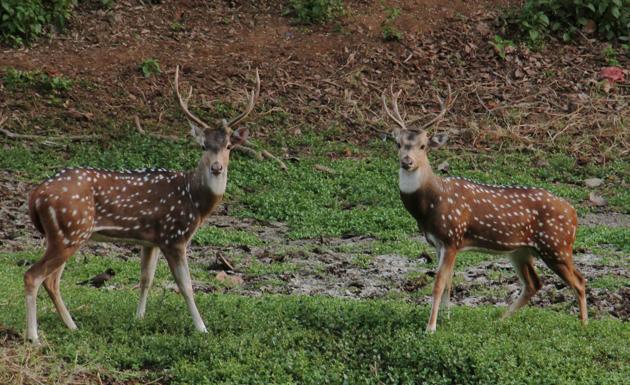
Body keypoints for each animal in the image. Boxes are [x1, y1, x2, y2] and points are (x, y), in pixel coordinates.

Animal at [24, 65, 262, 342]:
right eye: (204, 146)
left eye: (229, 146)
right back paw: (34, 336)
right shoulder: (174, 236)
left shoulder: (151, 240)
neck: (195, 201)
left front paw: (138, 318)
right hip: (70, 230)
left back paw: (72, 326)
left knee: (52, 280)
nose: (216, 167)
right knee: (34, 276)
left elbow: (146, 278)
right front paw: (202, 328)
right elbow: (186, 285)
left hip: (66, 234)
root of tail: (36, 195)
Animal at [382, 88, 592, 332]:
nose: (407, 161)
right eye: (398, 144)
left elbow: (438, 283)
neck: (431, 203)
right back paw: (500, 319)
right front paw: (446, 319)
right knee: (534, 283)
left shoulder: (453, 236)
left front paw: (431, 328)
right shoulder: (439, 243)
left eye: (423, 146)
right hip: (521, 250)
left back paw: (583, 324)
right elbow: (449, 282)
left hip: (557, 245)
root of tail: (574, 213)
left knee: (579, 280)